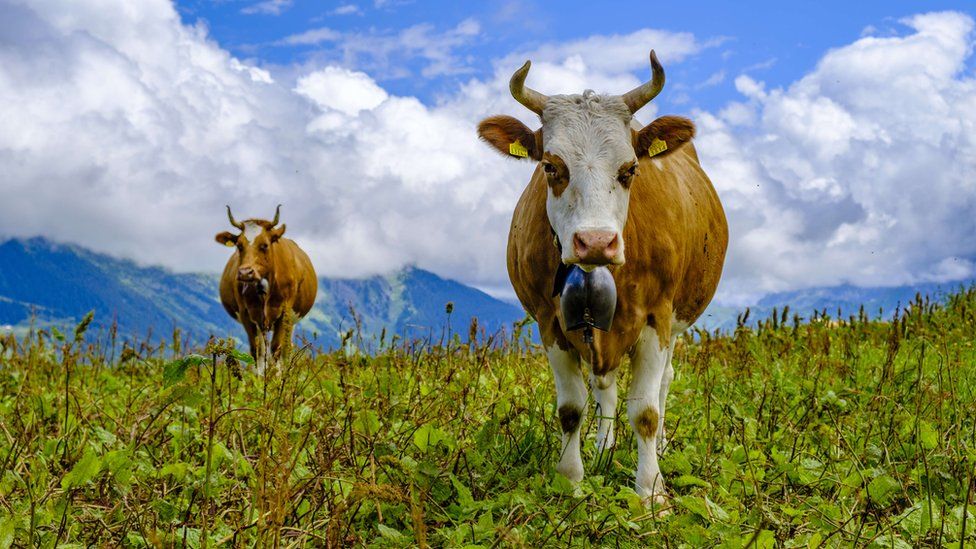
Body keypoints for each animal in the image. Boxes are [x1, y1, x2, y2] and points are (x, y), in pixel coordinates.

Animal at [215, 206, 318, 372]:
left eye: (264, 245)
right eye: (239, 245)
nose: (245, 272)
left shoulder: (284, 311)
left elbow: (276, 349)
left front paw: (275, 377)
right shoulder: (246, 313)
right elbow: (257, 351)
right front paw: (259, 378)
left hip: (291, 320)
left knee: (286, 349)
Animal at [476, 51, 728, 510]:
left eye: (629, 169)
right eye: (550, 166)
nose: (595, 242)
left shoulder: (657, 316)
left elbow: (645, 411)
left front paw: (651, 492)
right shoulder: (550, 322)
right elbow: (572, 408)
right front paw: (571, 479)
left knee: (663, 383)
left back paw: (661, 447)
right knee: (605, 386)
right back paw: (603, 448)